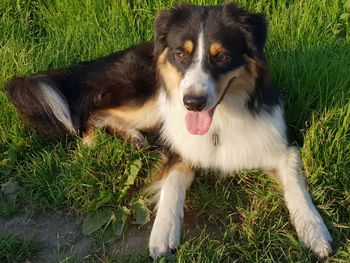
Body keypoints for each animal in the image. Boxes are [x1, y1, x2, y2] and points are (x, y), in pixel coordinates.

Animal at [6, 3, 334, 260]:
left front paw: (313, 230)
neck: (222, 118)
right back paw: (95, 140)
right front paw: (163, 232)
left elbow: (296, 185)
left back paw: (131, 137)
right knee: (86, 111)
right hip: (150, 96)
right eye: (182, 54)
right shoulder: (178, 146)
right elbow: (172, 185)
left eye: (222, 56)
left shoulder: (281, 147)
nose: (192, 103)